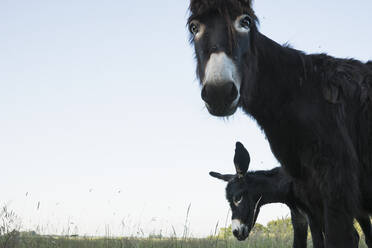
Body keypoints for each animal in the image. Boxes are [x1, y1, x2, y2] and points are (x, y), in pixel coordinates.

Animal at [211, 142, 370, 247]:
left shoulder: (314, 215)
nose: (236, 232)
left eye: (237, 198)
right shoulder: (299, 218)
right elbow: (298, 244)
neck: (291, 185)